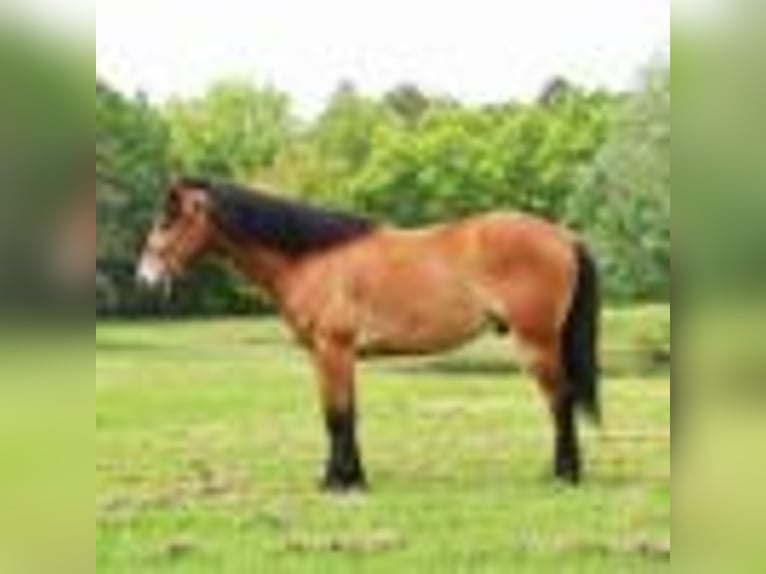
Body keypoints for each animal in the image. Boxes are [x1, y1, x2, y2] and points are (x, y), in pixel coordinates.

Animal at [137, 178, 601, 491]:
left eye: (169, 219)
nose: (144, 276)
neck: (313, 258)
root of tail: (563, 236)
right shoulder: (329, 355)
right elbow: (343, 414)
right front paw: (351, 478)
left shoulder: (334, 349)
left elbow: (337, 416)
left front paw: (338, 483)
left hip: (537, 341)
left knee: (560, 401)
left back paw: (565, 476)